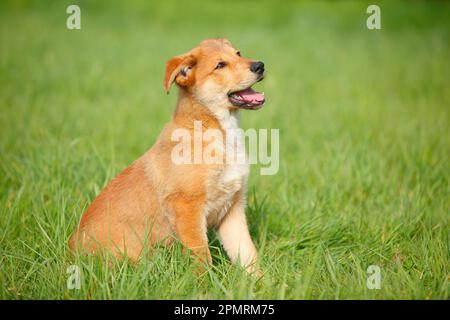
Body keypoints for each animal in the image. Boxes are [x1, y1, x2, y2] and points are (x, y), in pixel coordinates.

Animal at [70, 38, 266, 276]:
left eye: (238, 53)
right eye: (220, 65)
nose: (260, 65)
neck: (214, 131)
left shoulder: (232, 209)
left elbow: (248, 254)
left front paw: (263, 282)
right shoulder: (187, 207)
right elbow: (202, 257)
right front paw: (203, 283)